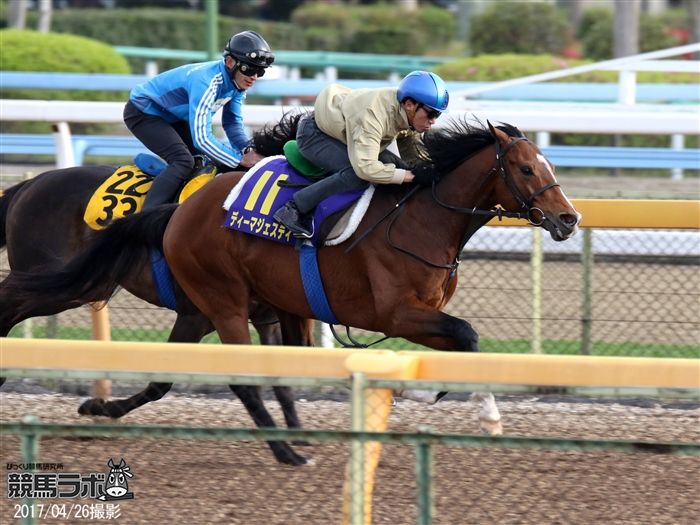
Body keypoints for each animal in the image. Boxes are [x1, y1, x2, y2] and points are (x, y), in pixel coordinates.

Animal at [1, 118, 580, 462]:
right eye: (527, 168)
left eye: (549, 165)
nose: (569, 219)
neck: (419, 219)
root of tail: (28, 185)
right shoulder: (395, 314)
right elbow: (469, 336)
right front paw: (474, 410)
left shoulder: (267, 310)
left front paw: (100, 408)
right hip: (199, 299)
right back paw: (285, 452)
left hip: (204, 303)